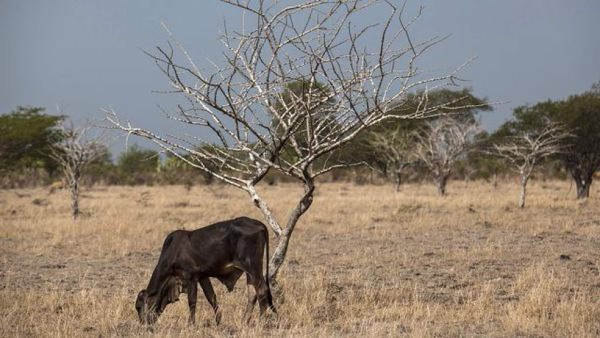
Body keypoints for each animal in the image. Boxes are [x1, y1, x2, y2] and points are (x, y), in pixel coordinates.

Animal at [135, 217, 276, 324]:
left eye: (139, 307)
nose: (144, 324)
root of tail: (260, 224)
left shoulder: (190, 276)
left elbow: (192, 301)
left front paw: (191, 324)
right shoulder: (202, 277)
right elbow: (211, 297)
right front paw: (218, 321)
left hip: (253, 266)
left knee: (262, 290)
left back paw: (261, 321)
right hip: (249, 272)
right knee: (252, 293)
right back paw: (244, 321)